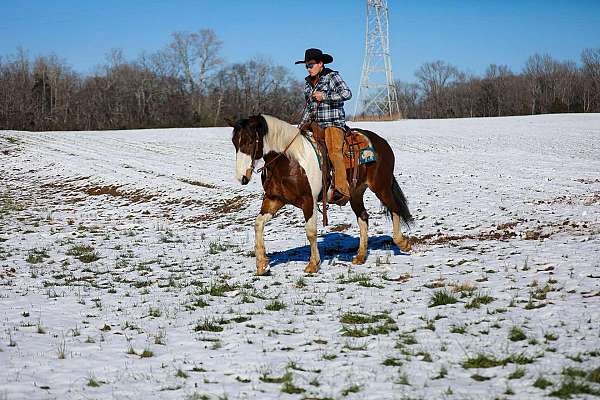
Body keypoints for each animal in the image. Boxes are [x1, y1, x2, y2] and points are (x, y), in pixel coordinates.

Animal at [226, 113, 412, 276]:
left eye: (250, 141)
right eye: (235, 142)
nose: (242, 177)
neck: (290, 160)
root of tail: (382, 142)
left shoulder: (309, 200)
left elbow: (310, 231)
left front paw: (313, 264)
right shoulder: (274, 199)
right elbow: (258, 224)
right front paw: (262, 264)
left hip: (381, 186)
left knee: (394, 208)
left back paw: (403, 243)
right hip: (356, 193)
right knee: (363, 218)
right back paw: (360, 256)